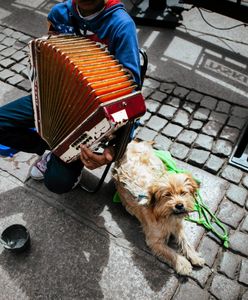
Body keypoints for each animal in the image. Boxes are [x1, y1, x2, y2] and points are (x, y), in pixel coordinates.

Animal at [113, 141, 204, 276]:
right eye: (167, 195)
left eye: (183, 193)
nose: (179, 205)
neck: (165, 215)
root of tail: (133, 143)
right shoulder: (154, 241)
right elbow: (170, 252)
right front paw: (182, 263)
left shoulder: (178, 226)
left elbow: (186, 241)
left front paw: (194, 256)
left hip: (156, 163)